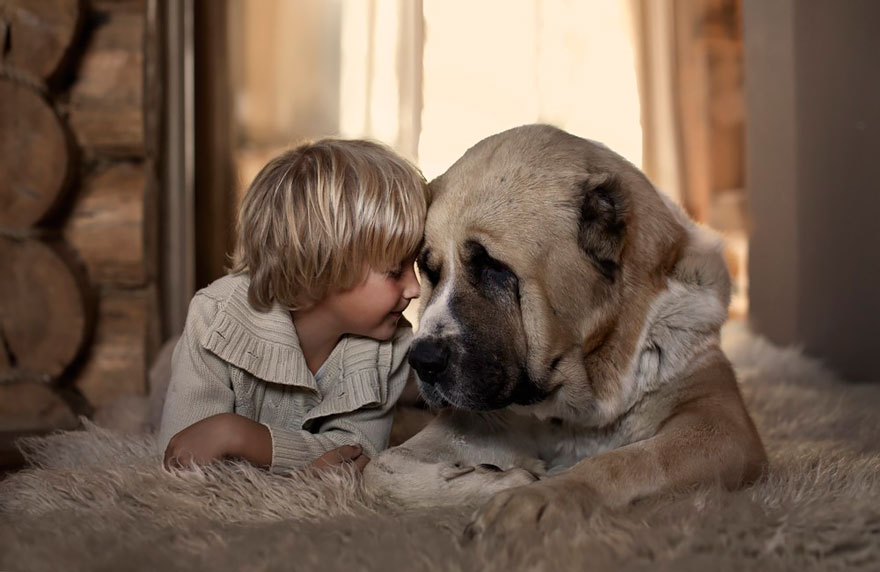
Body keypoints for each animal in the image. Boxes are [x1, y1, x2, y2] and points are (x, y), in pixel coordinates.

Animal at [360, 124, 768, 540]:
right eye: (430, 271)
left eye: (494, 268)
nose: (422, 360)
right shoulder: (479, 419)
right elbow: (379, 470)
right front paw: (505, 479)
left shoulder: (720, 425)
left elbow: (629, 461)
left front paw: (541, 495)